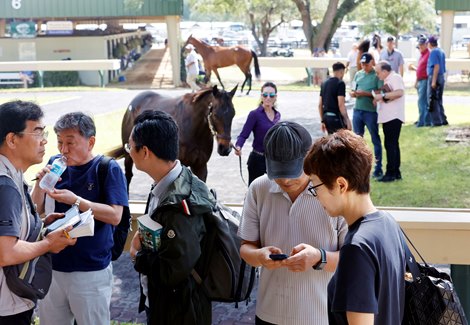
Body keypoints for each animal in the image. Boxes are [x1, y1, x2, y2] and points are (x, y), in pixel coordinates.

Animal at [108, 84, 237, 185]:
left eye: (233, 114)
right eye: (215, 114)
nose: (225, 148)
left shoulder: (200, 165)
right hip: (129, 155)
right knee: (128, 176)